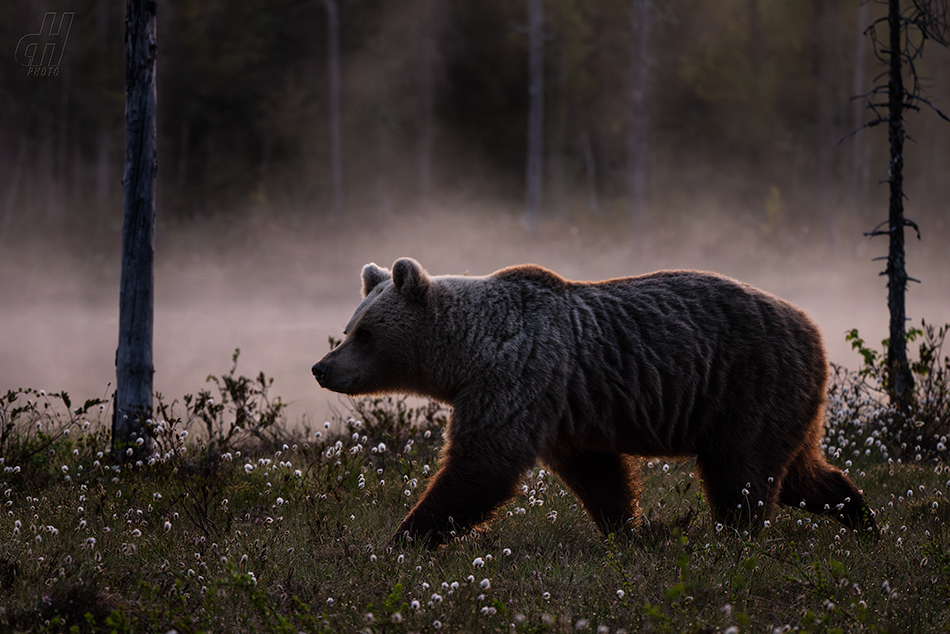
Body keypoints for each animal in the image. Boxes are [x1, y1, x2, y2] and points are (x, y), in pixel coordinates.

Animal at [312, 256, 876, 544]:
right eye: (349, 326)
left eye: (364, 333)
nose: (322, 368)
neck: (467, 354)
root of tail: (813, 328)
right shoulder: (563, 409)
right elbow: (598, 475)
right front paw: (626, 528)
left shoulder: (517, 378)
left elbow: (481, 466)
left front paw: (405, 536)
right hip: (787, 402)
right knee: (798, 473)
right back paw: (860, 515)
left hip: (747, 385)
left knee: (741, 473)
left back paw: (734, 536)